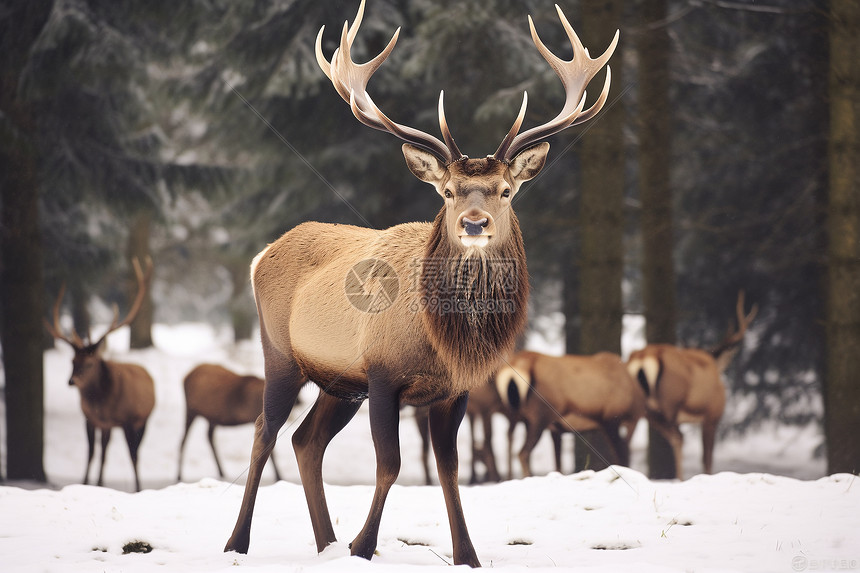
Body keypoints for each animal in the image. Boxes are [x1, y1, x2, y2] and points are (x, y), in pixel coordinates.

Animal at [43, 256, 155, 490]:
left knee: (135, 453)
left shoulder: (128, 420)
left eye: (90, 363)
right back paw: (100, 482)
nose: (71, 381)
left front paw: (138, 489)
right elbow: (91, 453)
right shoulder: (90, 419)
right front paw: (86, 483)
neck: (102, 403)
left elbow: (132, 456)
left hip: (142, 420)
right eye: (72, 361)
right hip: (109, 426)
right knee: (104, 451)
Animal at [225, 0, 616, 564]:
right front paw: (364, 546)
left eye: (505, 190)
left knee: (306, 441)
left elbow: (451, 470)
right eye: (448, 190)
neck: (440, 340)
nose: (474, 223)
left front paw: (467, 555)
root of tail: (262, 255)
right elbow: (390, 464)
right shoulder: (382, 374)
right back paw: (239, 542)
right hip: (280, 353)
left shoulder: (454, 390)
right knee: (264, 432)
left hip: (339, 383)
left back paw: (325, 544)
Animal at [498, 350, 644, 476]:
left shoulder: (556, 429)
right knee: (523, 453)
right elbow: (622, 456)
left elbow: (558, 464)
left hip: (521, 417)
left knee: (513, 441)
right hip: (540, 418)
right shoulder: (612, 420)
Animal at [624, 290, 760, 478]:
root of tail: (644, 358)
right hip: (669, 404)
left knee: (630, 441)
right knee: (679, 438)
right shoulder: (712, 415)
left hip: (644, 410)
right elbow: (707, 459)